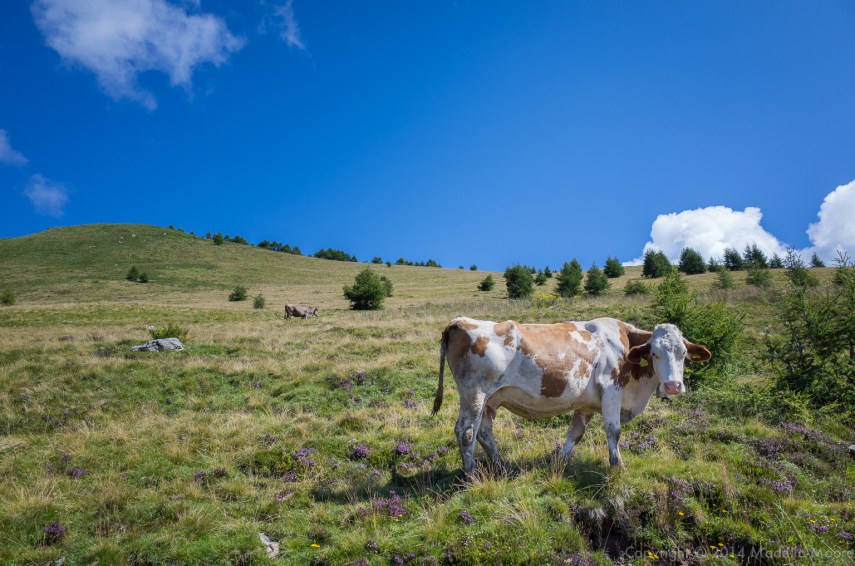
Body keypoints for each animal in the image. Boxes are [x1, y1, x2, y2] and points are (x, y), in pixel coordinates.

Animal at [432, 317, 711, 476]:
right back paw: (471, 475)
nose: (673, 385)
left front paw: (560, 463)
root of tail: (459, 321)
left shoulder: (585, 405)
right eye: (654, 353)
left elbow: (574, 434)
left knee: (484, 432)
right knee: (466, 431)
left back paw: (501, 467)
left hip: (490, 400)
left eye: (683, 353)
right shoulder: (612, 389)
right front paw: (618, 466)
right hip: (474, 393)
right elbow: (614, 431)